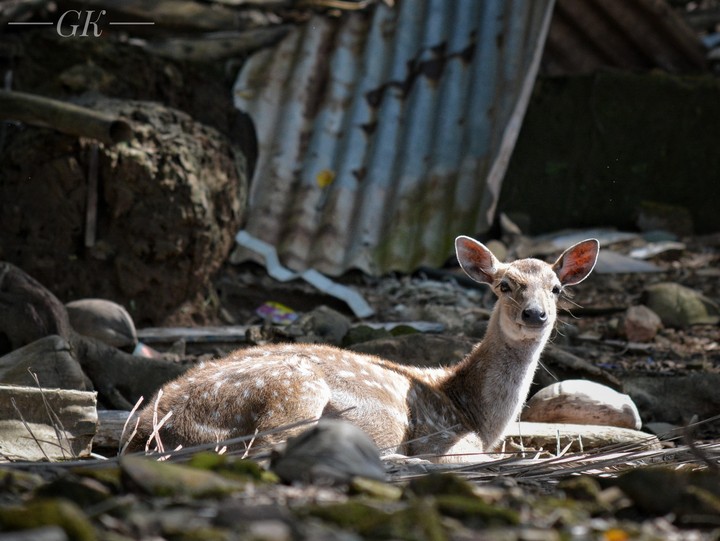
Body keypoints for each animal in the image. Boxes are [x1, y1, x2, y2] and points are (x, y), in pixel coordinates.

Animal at [124, 236, 599, 463]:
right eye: (504, 285)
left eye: (556, 289)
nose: (536, 315)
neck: (476, 415)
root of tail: (147, 431)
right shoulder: (444, 439)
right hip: (292, 393)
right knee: (264, 452)